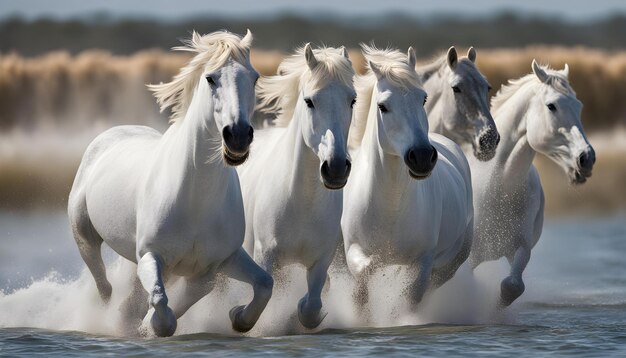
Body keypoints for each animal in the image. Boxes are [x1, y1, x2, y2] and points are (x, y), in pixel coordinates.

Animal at [68, 30, 272, 336]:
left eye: (255, 77)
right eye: (210, 78)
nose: (237, 137)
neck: (195, 199)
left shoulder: (215, 266)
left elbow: (264, 285)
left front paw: (237, 317)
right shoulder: (151, 256)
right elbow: (162, 307)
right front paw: (148, 327)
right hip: (85, 236)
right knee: (104, 286)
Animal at [238, 44, 356, 328]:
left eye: (352, 100)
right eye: (309, 101)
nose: (336, 167)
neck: (302, 202)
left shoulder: (321, 259)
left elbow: (311, 307)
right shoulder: (265, 256)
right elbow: (263, 292)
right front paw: (238, 317)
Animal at [342, 44, 472, 308]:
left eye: (423, 98)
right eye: (383, 106)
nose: (421, 156)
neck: (389, 206)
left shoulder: (422, 264)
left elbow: (409, 298)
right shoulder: (353, 251)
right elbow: (364, 277)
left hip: (451, 263)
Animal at [468, 60, 596, 306]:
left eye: (579, 106)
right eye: (551, 106)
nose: (586, 158)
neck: (497, 190)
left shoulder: (520, 248)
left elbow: (512, 286)